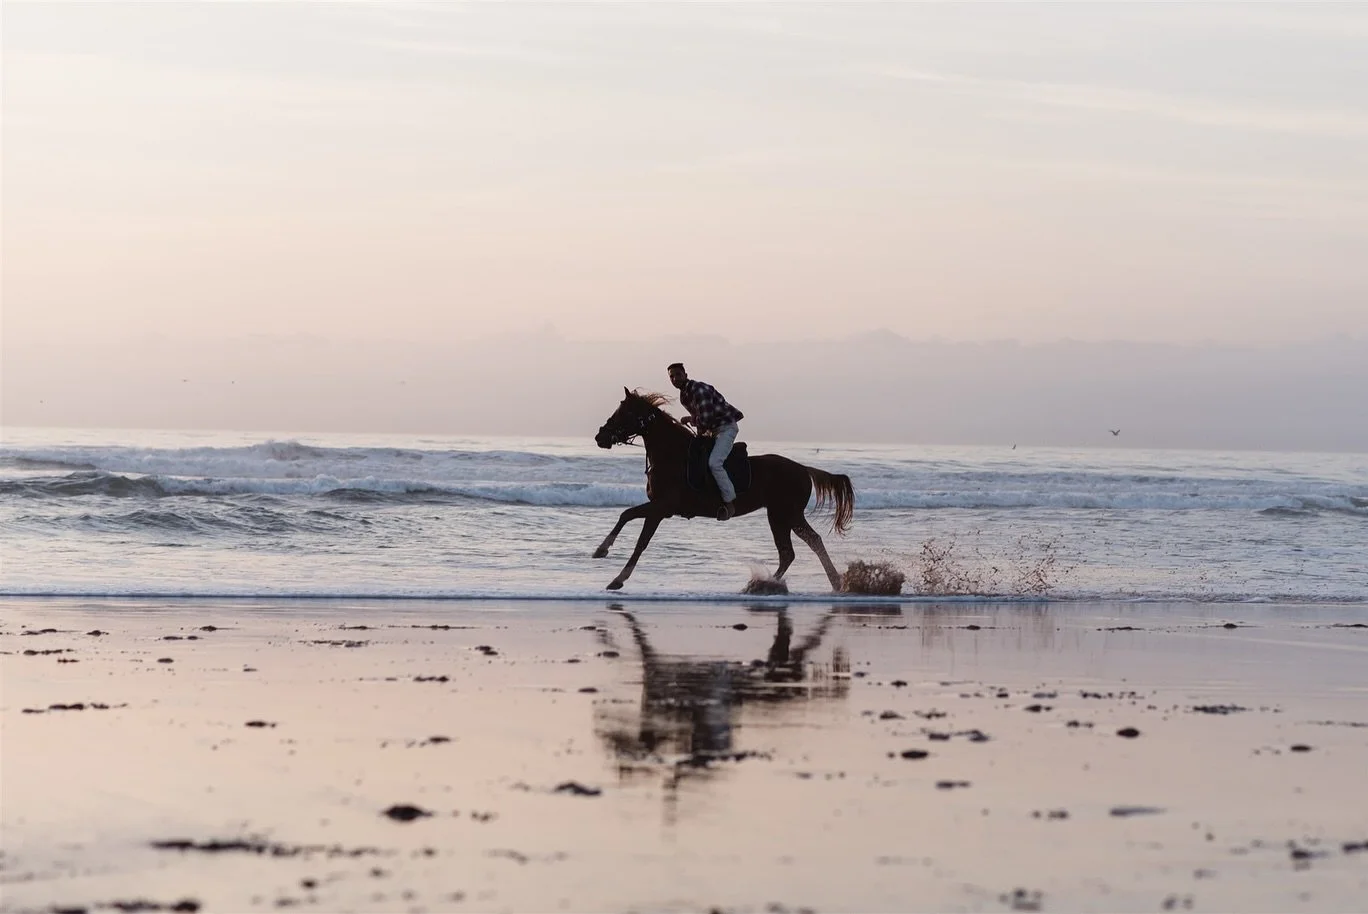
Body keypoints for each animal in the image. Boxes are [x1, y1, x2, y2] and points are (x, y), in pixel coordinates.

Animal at [593, 388, 854, 591]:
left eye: (625, 413)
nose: (600, 437)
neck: (671, 455)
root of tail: (804, 469)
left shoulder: (661, 508)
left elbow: (637, 535)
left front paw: (613, 571)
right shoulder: (659, 508)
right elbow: (627, 517)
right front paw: (603, 554)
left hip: (787, 514)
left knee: (809, 543)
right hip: (779, 516)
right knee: (789, 552)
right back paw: (765, 585)